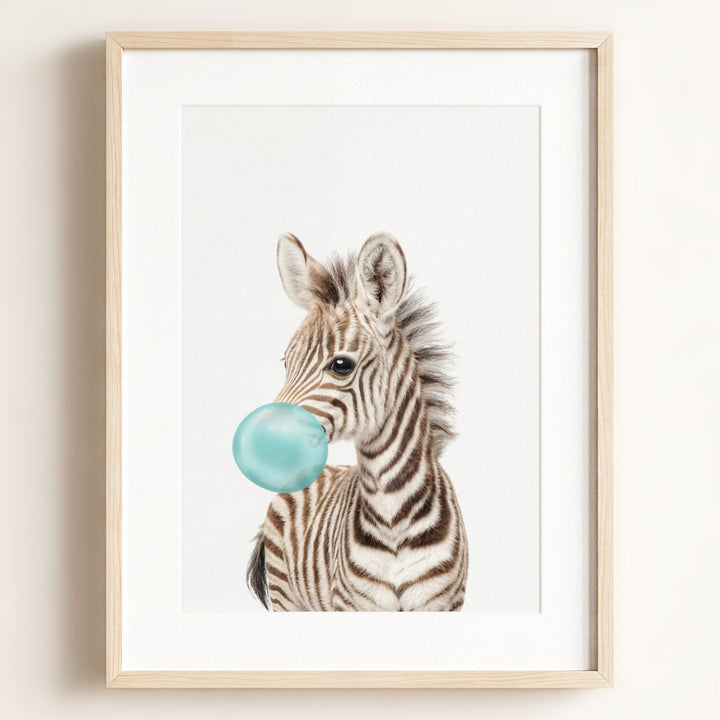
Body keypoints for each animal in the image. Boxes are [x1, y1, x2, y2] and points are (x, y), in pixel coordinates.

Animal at [246, 231, 469, 611]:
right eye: (286, 362)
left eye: (341, 365)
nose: (264, 445)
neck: (393, 515)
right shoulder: (354, 605)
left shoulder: (443, 604)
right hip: (286, 595)